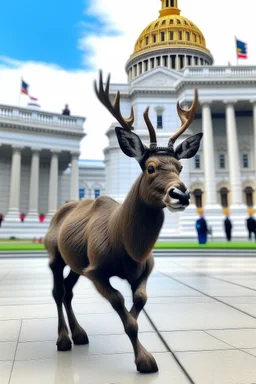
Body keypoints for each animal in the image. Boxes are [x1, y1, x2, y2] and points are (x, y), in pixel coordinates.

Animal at [44, 70, 204, 374]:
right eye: (150, 167)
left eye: (180, 167)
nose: (181, 194)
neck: (127, 244)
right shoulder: (96, 270)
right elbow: (122, 307)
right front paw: (145, 360)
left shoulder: (143, 269)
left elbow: (138, 304)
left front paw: (142, 350)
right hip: (55, 255)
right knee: (58, 291)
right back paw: (62, 339)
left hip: (76, 262)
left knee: (68, 291)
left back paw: (79, 334)